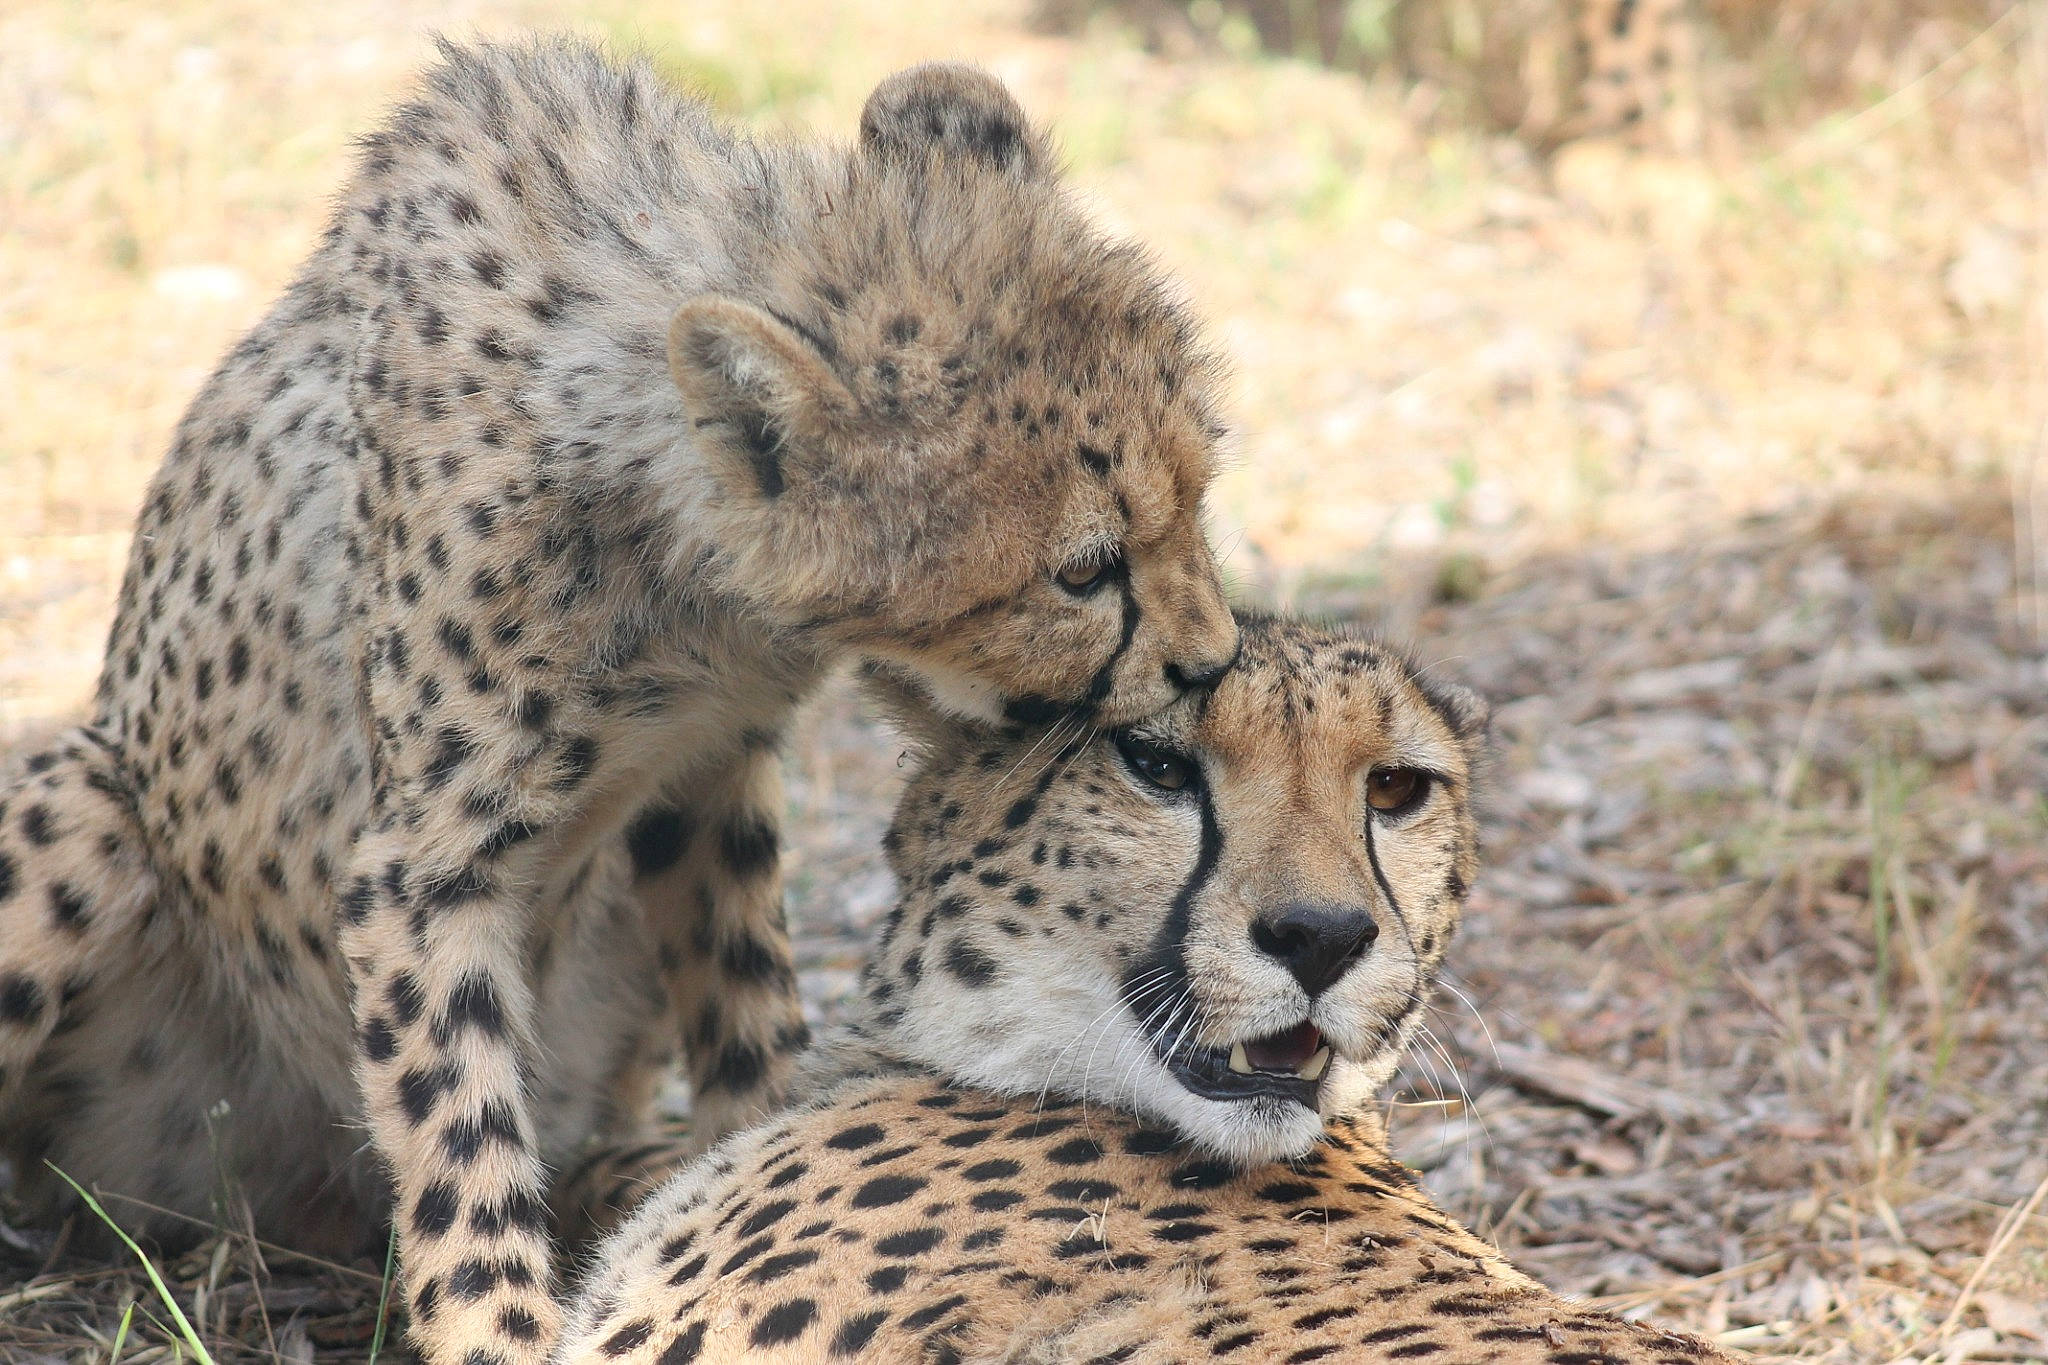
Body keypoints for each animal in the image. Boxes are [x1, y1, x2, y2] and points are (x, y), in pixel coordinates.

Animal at [0, 37, 1240, 1365]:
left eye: (1197, 490)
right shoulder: (419, 864)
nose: (1210, 661)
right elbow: (458, 1128)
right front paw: (496, 1325)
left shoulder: (710, 774)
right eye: (1084, 571)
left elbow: (747, 1006)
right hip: (83, 807)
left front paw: (761, 1167)